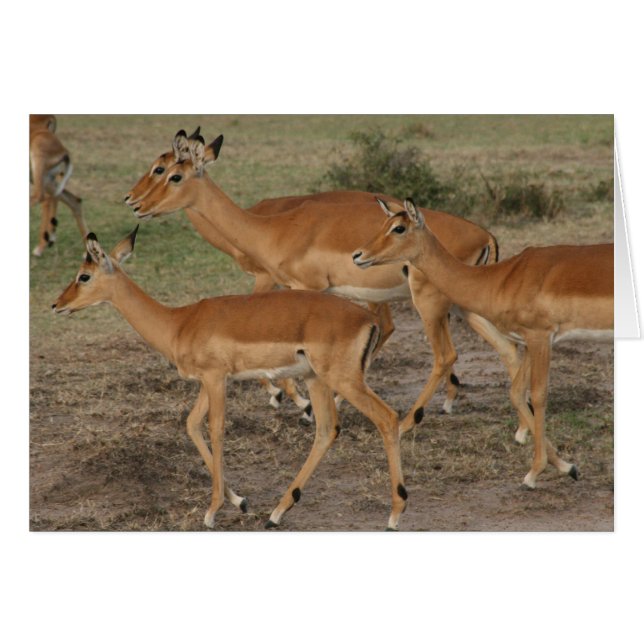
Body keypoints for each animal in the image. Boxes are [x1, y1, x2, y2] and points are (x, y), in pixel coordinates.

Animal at [52, 227, 407, 530]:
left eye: (83, 276)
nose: (56, 305)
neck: (178, 324)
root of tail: (368, 319)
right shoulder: (207, 382)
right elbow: (192, 425)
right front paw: (240, 501)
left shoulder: (215, 378)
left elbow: (216, 429)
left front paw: (211, 512)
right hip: (316, 379)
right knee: (326, 430)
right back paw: (276, 514)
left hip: (343, 380)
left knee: (386, 418)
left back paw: (394, 516)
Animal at [128, 130, 524, 435]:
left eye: (171, 174)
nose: (135, 204)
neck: (272, 228)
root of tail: (485, 235)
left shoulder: (301, 289)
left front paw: (299, 403)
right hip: (462, 307)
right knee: (506, 349)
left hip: (428, 303)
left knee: (445, 355)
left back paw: (408, 421)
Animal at [353, 198, 614, 488]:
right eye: (384, 223)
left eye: (399, 228)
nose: (358, 255)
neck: (500, 279)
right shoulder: (529, 341)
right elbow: (516, 392)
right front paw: (567, 467)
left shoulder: (540, 337)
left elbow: (538, 395)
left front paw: (533, 473)